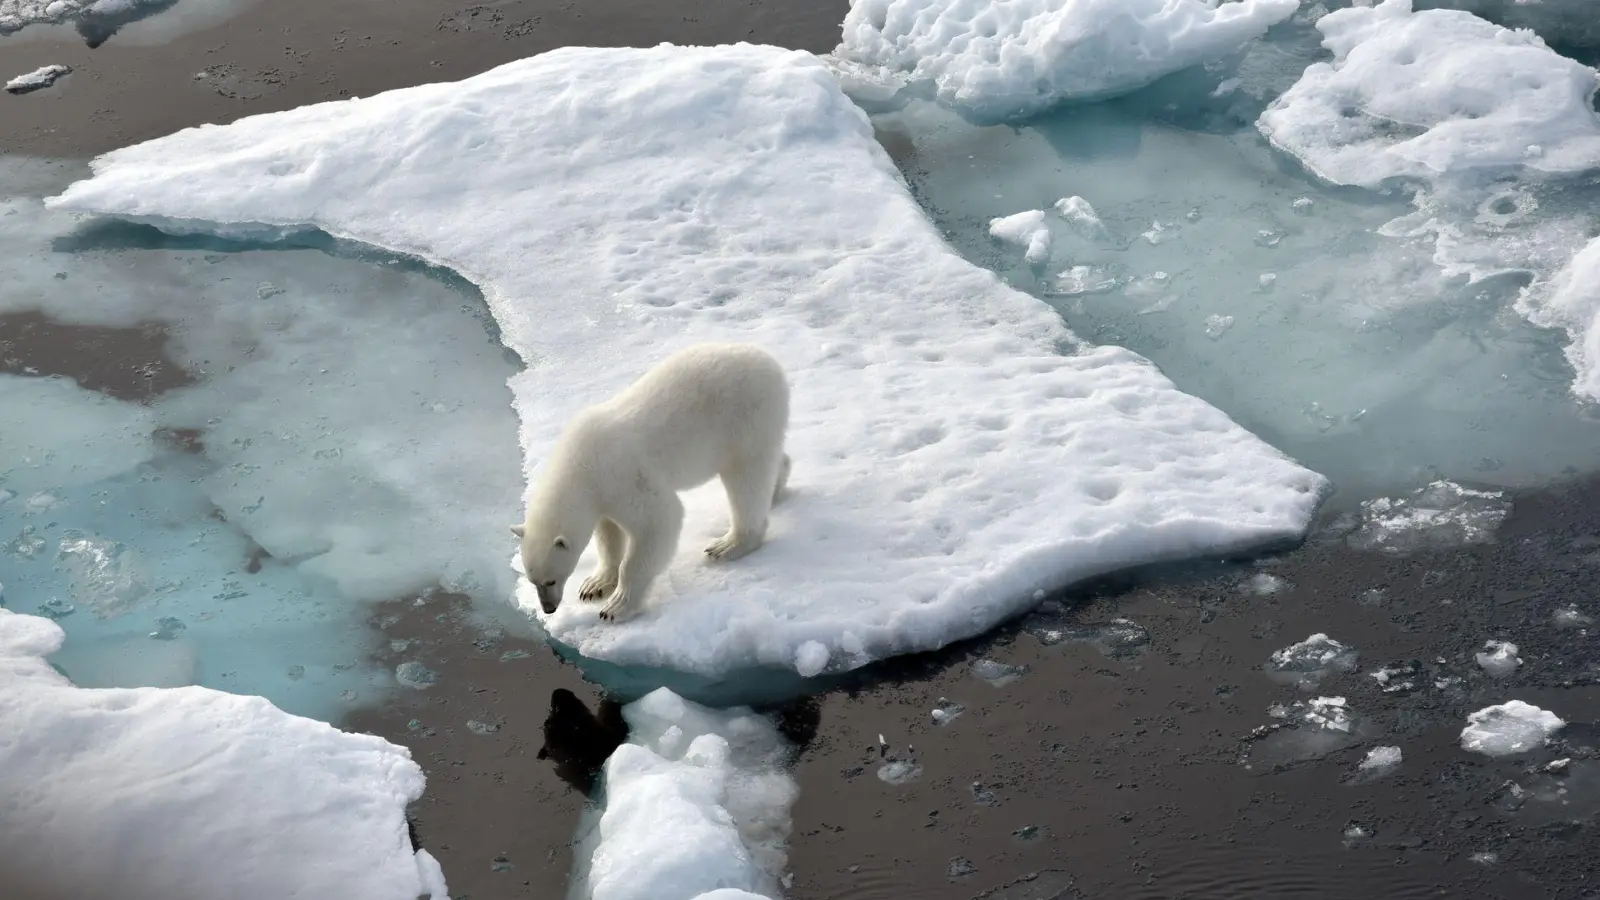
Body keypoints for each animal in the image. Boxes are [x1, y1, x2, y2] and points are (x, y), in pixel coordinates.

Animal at [508, 339, 790, 621]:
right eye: (533, 580)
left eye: (551, 580)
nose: (549, 608)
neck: (580, 464)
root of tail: (770, 362)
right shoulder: (602, 495)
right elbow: (609, 535)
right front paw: (595, 585)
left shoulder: (622, 476)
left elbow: (659, 520)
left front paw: (616, 606)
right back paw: (776, 487)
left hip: (745, 418)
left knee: (746, 479)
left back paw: (729, 544)